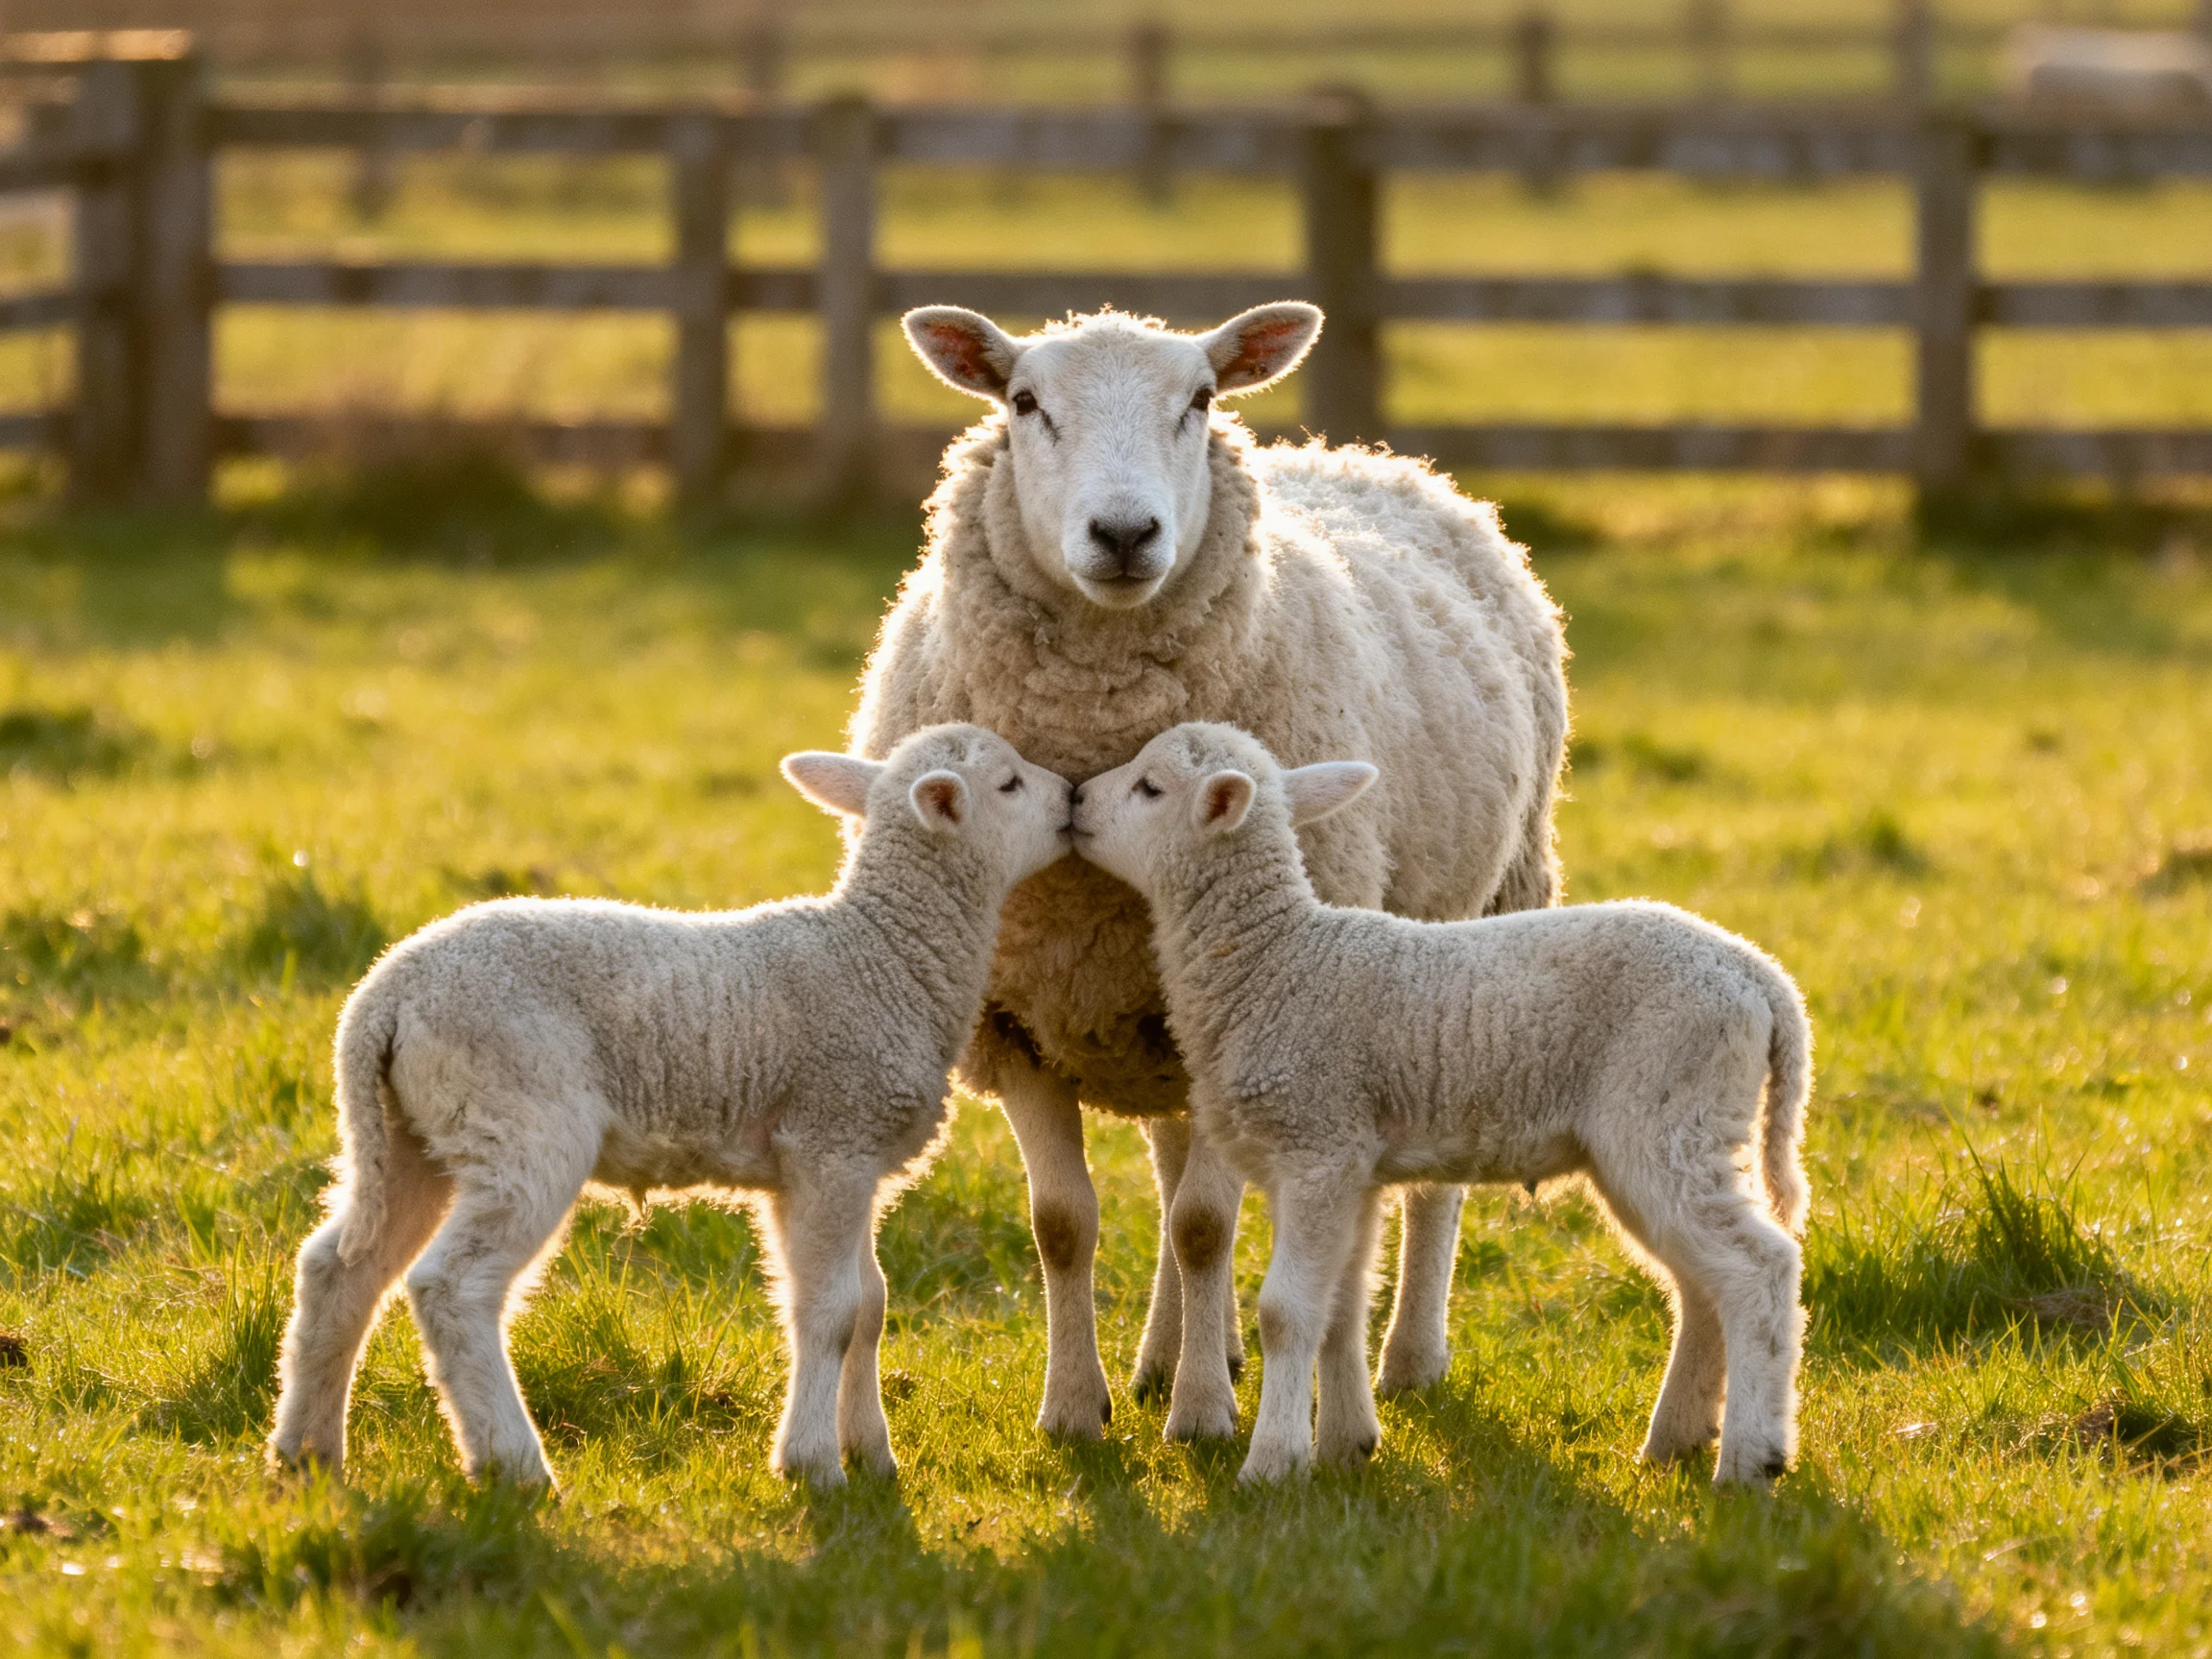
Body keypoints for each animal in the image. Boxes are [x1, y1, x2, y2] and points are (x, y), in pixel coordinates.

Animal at [266, 724, 1073, 1489]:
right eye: (1009, 783)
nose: (1070, 798)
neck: (886, 953)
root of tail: (382, 997)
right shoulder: (831, 1140)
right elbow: (832, 1311)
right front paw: (814, 1465)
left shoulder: (832, 1162)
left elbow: (868, 1305)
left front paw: (871, 1453)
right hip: (519, 1122)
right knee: (451, 1287)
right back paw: (516, 1465)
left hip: (412, 1133)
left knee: (339, 1268)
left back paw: (306, 1452)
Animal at [854, 302, 1568, 1444]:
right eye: (1024, 402)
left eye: (1197, 400)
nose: (1124, 536)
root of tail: (1368, 459)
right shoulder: (1018, 1015)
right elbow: (1063, 1224)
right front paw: (1078, 1409)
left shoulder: (1246, 1007)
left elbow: (1200, 1224)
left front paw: (1199, 1419)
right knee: (1169, 1153)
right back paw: (1169, 1352)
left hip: (1475, 927)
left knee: (1430, 1182)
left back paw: (1407, 1358)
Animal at [1071, 723, 1811, 1487]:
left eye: (1150, 788)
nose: (1075, 801)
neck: (1271, 958)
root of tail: (1761, 978)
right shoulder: (1353, 1165)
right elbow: (1343, 1307)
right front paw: (1347, 1446)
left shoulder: (1315, 1143)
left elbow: (1286, 1313)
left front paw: (1273, 1462)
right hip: (1670, 1131)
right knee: (1700, 1286)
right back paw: (1675, 1441)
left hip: (1669, 1114)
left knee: (1759, 1269)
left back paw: (1751, 1457)